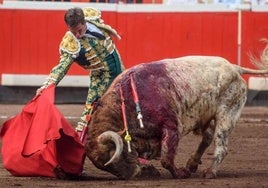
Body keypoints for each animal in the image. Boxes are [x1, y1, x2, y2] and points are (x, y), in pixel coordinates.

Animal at [85, 52, 266, 179]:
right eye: (104, 166)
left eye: (111, 154)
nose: (133, 174)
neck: (126, 102)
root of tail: (235, 68)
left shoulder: (171, 126)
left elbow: (166, 157)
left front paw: (180, 173)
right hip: (207, 116)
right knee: (207, 137)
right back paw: (192, 163)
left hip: (226, 114)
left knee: (221, 146)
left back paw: (210, 172)